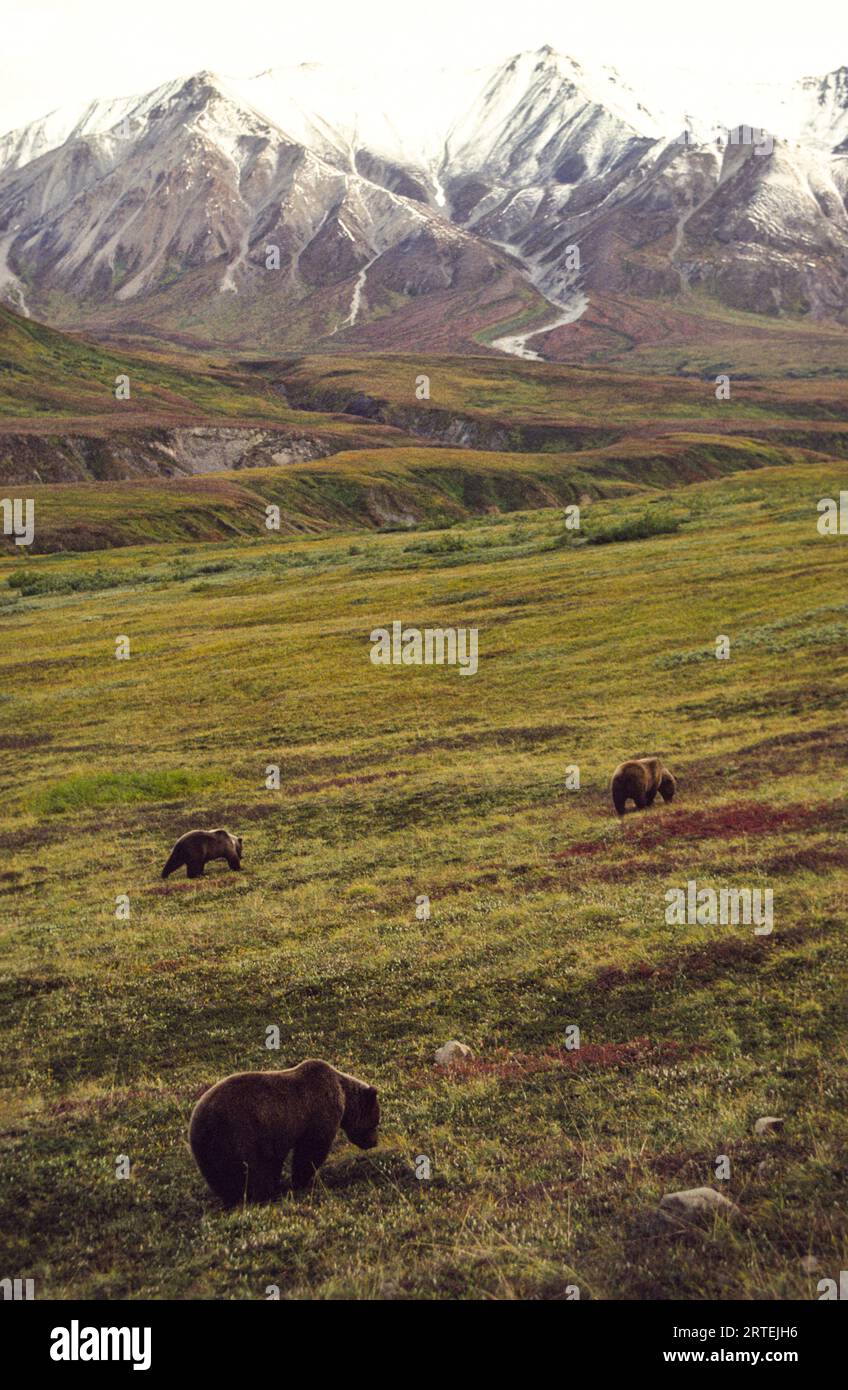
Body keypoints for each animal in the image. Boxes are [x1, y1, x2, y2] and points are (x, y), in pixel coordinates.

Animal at [190, 1050, 380, 1206]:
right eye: (376, 1122)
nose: (374, 1142)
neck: (344, 1096)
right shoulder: (318, 1112)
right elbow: (311, 1150)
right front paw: (301, 1181)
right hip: (236, 1134)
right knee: (252, 1170)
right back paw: (259, 1195)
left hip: (212, 1149)